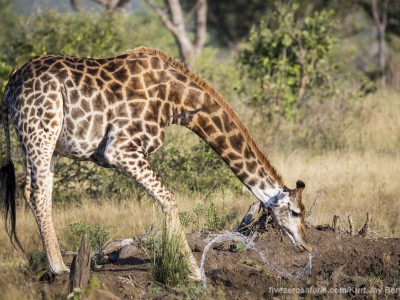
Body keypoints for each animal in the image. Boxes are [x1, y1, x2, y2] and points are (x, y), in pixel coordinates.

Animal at [0, 45, 310, 280]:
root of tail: (11, 82)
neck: (179, 101)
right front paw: (193, 271)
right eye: (296, 213)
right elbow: (170, 201)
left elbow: (164, 204)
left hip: (46, 142)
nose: (305, 245)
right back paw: (59, 268)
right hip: (41, 131)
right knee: (36, 192)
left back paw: (57, 264)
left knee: (38, 192)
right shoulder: (120, 149)